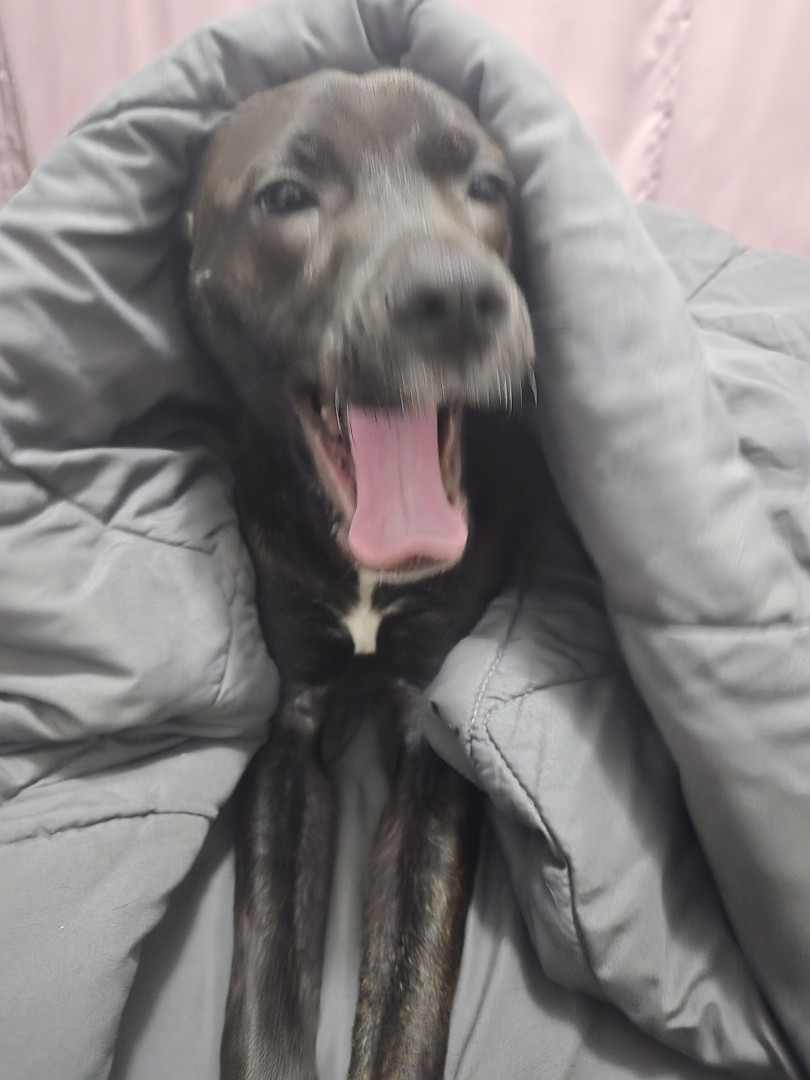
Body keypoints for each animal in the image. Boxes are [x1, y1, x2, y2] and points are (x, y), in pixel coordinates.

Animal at [185, 68, 541, 1080]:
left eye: (487, 185)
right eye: (284, 197)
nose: (455, 298)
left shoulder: (433, 735)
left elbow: (408, 992)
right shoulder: (289, 726)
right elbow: (267, 984)